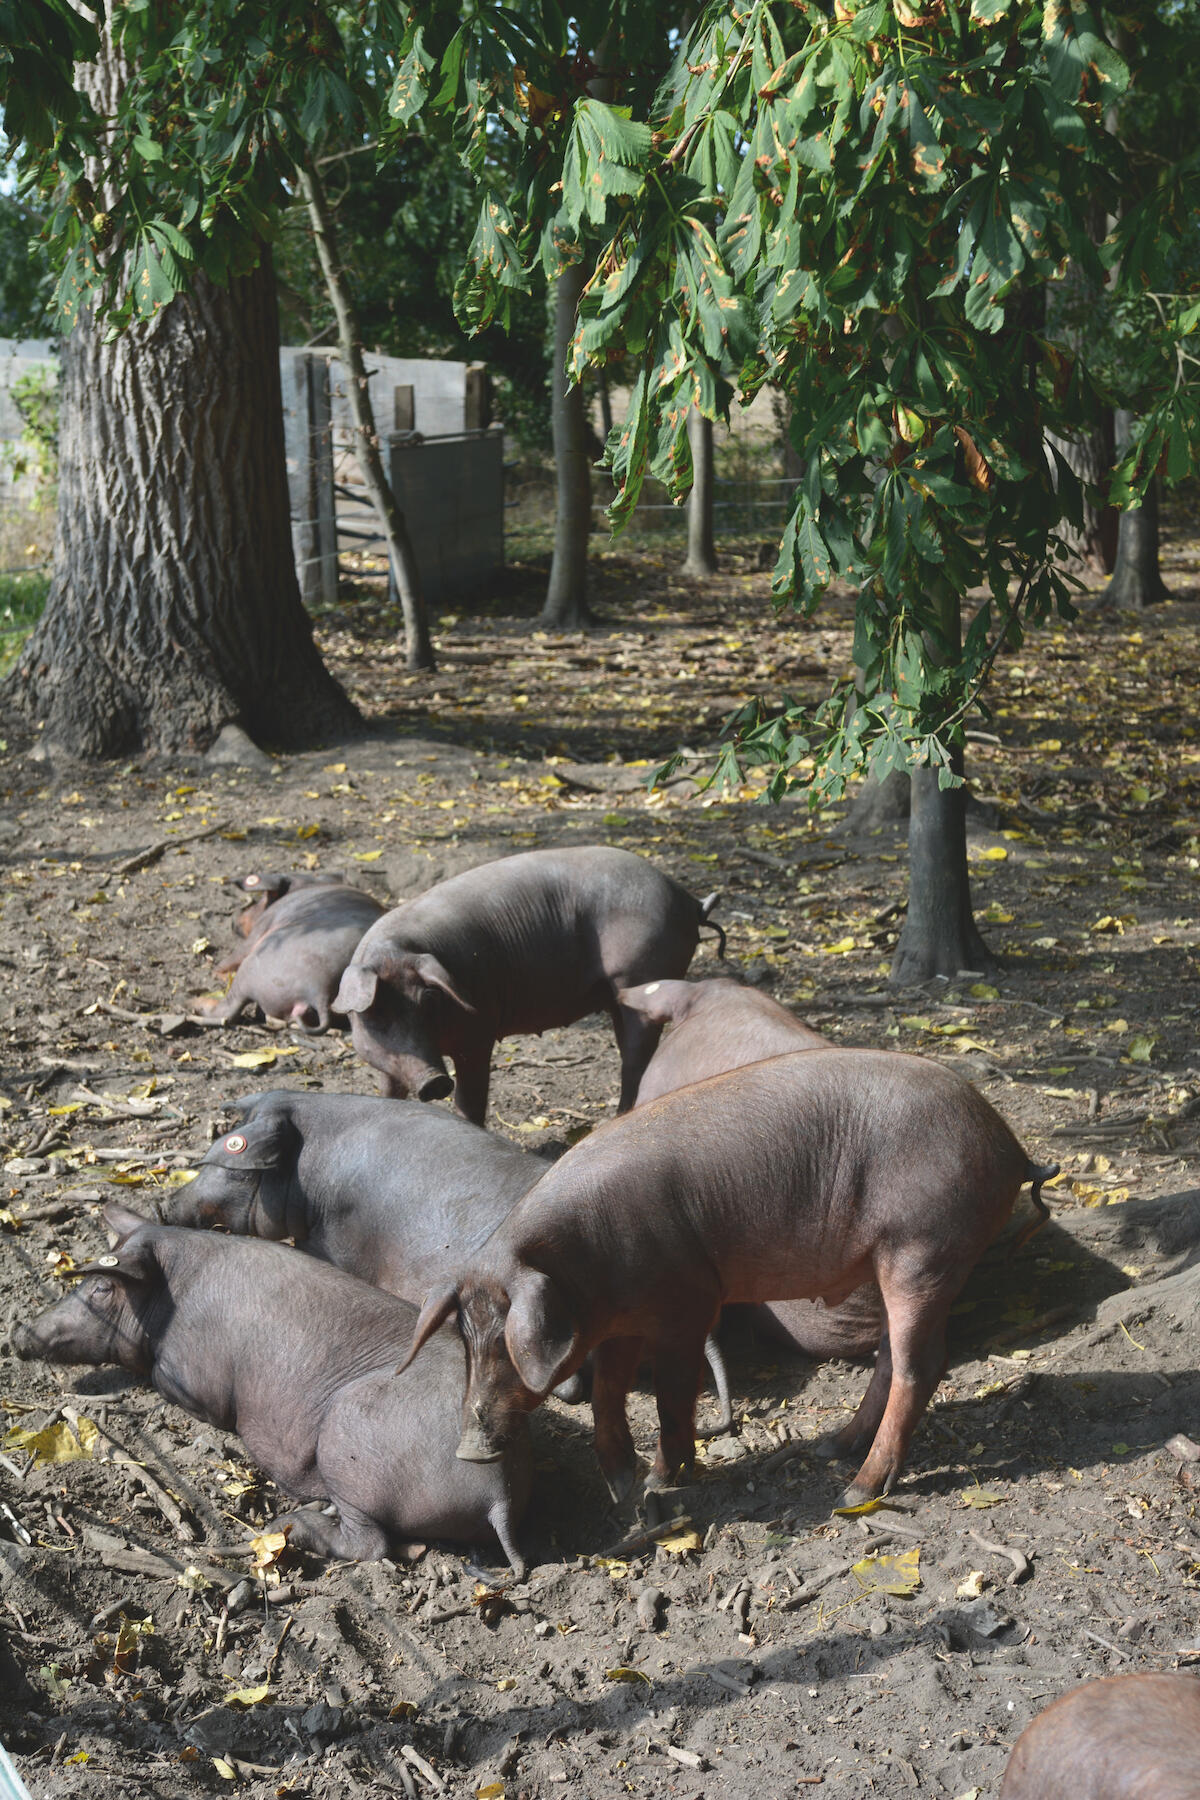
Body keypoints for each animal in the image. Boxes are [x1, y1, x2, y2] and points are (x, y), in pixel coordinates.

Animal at [12, 1209, 528, 1576]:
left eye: (101, 1287)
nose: (17, 1333)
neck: (172, 1295)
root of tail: (496, 1489)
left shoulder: (197, 1381)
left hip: (348, 1439)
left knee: (371, 1542)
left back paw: (288, 1526)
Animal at [331, 846, 723, 1123]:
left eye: (427, 998)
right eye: (378, 1014)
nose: (434, 1080)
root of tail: (688, 900)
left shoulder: (479, 1032)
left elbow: (470, 1100)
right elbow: (389, 1086)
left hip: (641, 971)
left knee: (636, 1057)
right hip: (620, 994)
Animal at [406, 1051, 1057, 1512]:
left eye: (506, 1345)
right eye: (466, 1340)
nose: (467, 1451)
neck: (587, 1265)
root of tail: (1009, 1144)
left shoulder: (688, 1305)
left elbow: (671, 1396)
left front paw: (661, 1482)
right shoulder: (619, 1323)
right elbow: (610, 1391)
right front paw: (622, 1487)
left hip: (922, 1250)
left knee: (922, 1366)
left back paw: (853, 1492)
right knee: (892, 1358)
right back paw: (830, 1448)